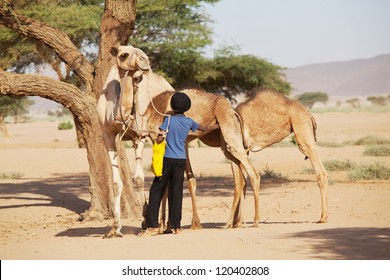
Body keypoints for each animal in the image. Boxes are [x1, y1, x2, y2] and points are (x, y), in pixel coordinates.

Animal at [96, 45, 260, 236]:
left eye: (139, 52)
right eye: (124, 54)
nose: (145, 61)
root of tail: (233, 110)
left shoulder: (141, 136)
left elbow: (141, 177)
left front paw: (147, 221)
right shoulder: (108, 135)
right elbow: (118, 182)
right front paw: (115, 228)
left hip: (228, 135)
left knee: (251, 174)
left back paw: (252, 221)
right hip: (224, 141)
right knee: (238, 178)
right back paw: (229, 223)